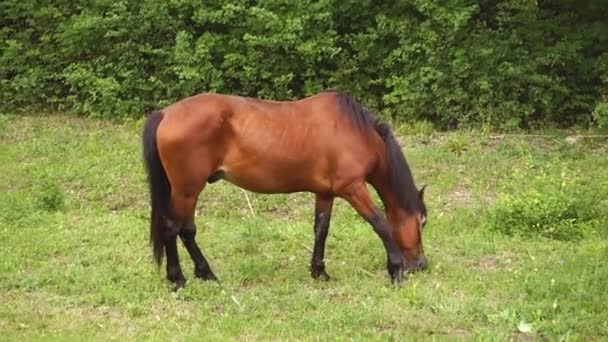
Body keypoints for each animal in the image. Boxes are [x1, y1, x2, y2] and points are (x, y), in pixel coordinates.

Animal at [142, 90, 428, 288]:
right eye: (422, 222)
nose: (421, 265)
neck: (354, 130)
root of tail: (165, 114)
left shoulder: (326, 193)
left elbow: (321, 229)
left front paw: (319, 271)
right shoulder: (352, 188)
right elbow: (379, 223)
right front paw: (395, 270)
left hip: (186, 191)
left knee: (186, 231)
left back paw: (205, 273)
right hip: (186, 190)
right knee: (173, 229)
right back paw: (178, 278)